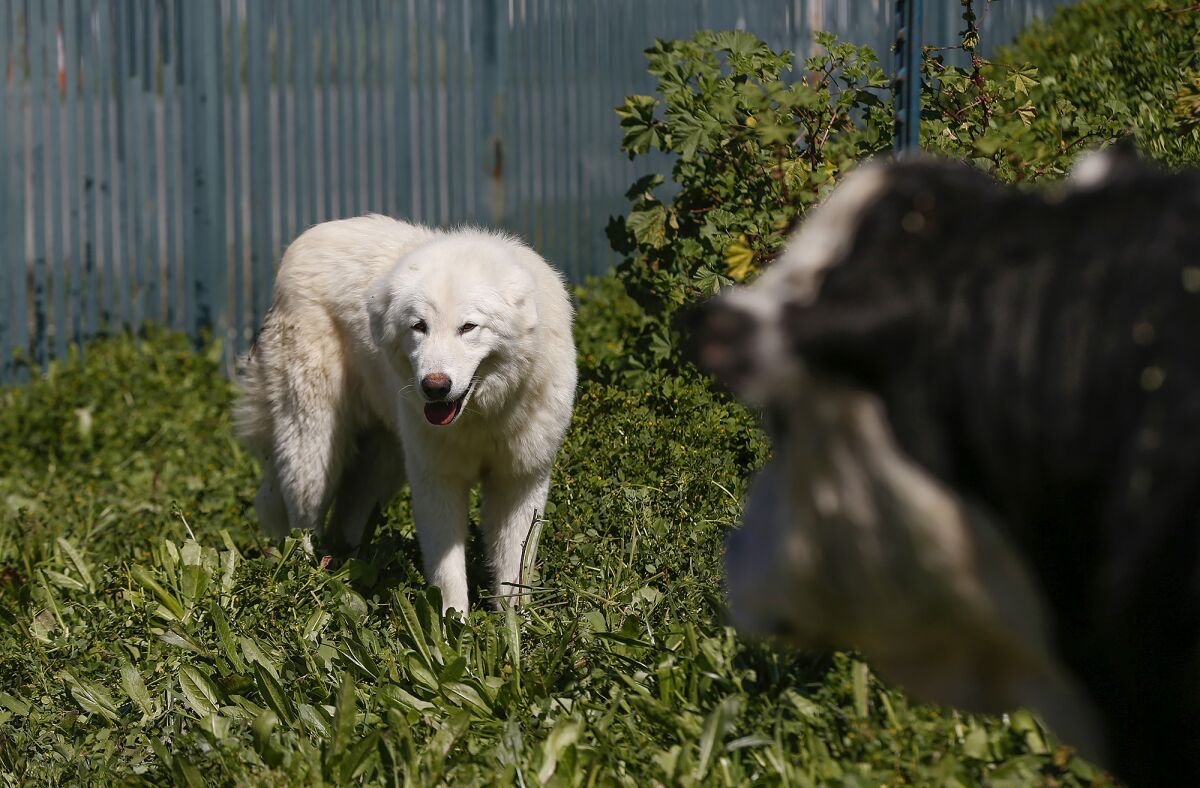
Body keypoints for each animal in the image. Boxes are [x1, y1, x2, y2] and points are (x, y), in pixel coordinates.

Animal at [236, 217, 578, 614]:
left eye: (468, 327)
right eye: (420, 326)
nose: (435, 386)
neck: (482, 417)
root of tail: (300, 244)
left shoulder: (520, 480)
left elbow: (514, 572)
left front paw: (515, 625)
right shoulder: (437, 480)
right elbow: (448, 572)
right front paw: (454, 624)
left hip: (383, 467)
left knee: (346, 518)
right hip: (314, 454)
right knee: (304, 526)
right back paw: (308, 584)